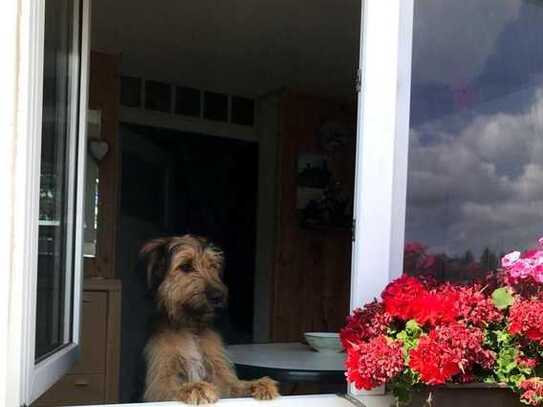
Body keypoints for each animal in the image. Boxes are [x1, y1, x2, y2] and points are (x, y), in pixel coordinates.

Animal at [140, 236, 280, 404]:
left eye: (212, 266)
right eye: (185, 266)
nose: (218, 296)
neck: (190, 324)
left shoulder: (220, 375)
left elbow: (234, 385)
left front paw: (258, 383)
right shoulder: (158, 383)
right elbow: (172, 388)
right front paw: (196, 387)